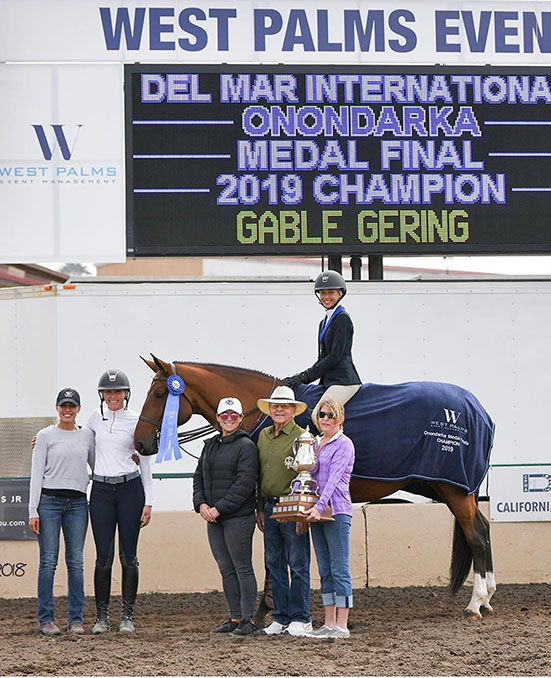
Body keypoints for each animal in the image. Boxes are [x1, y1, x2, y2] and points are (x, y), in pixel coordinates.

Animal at [134, 356, 496, 620]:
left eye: (159, 394)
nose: (140, 443)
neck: (263, 413)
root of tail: (478, 408)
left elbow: (272, 555)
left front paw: (265, 609)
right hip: (449, 488)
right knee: (483, 527)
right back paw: (488, 596)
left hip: (454, 489)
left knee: (476, 534)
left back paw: (476, 603)